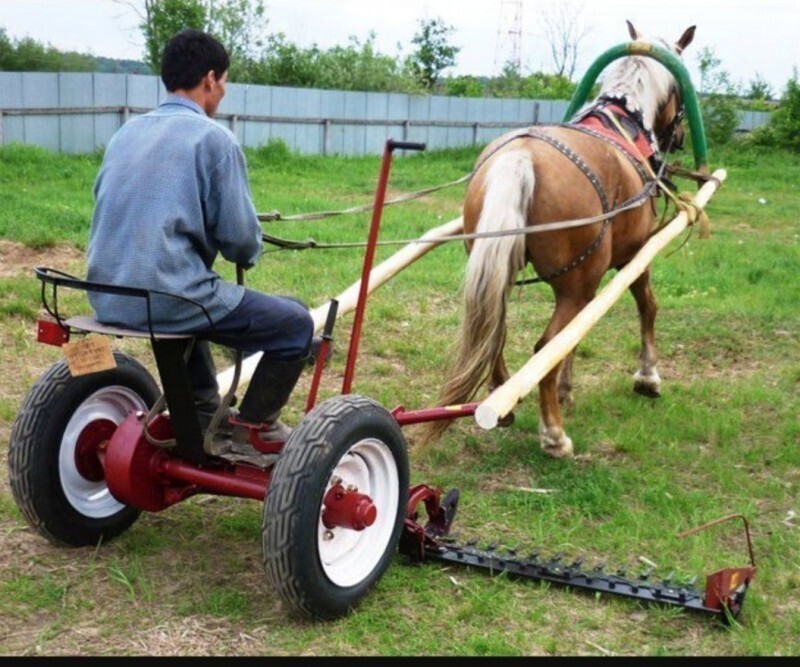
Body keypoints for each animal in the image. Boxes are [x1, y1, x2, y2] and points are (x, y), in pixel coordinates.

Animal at [416, 20, 696, 460]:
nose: (678, 137)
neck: (624, 123)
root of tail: (521, 158)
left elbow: (577, 336)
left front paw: (567, 389)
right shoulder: (634, 257)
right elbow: (647, 307)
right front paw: (647, 377)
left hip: (504, 276)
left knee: (498, 333)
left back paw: (504, 400)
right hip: (577, 285)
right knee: (544, 347)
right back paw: (553, 435)